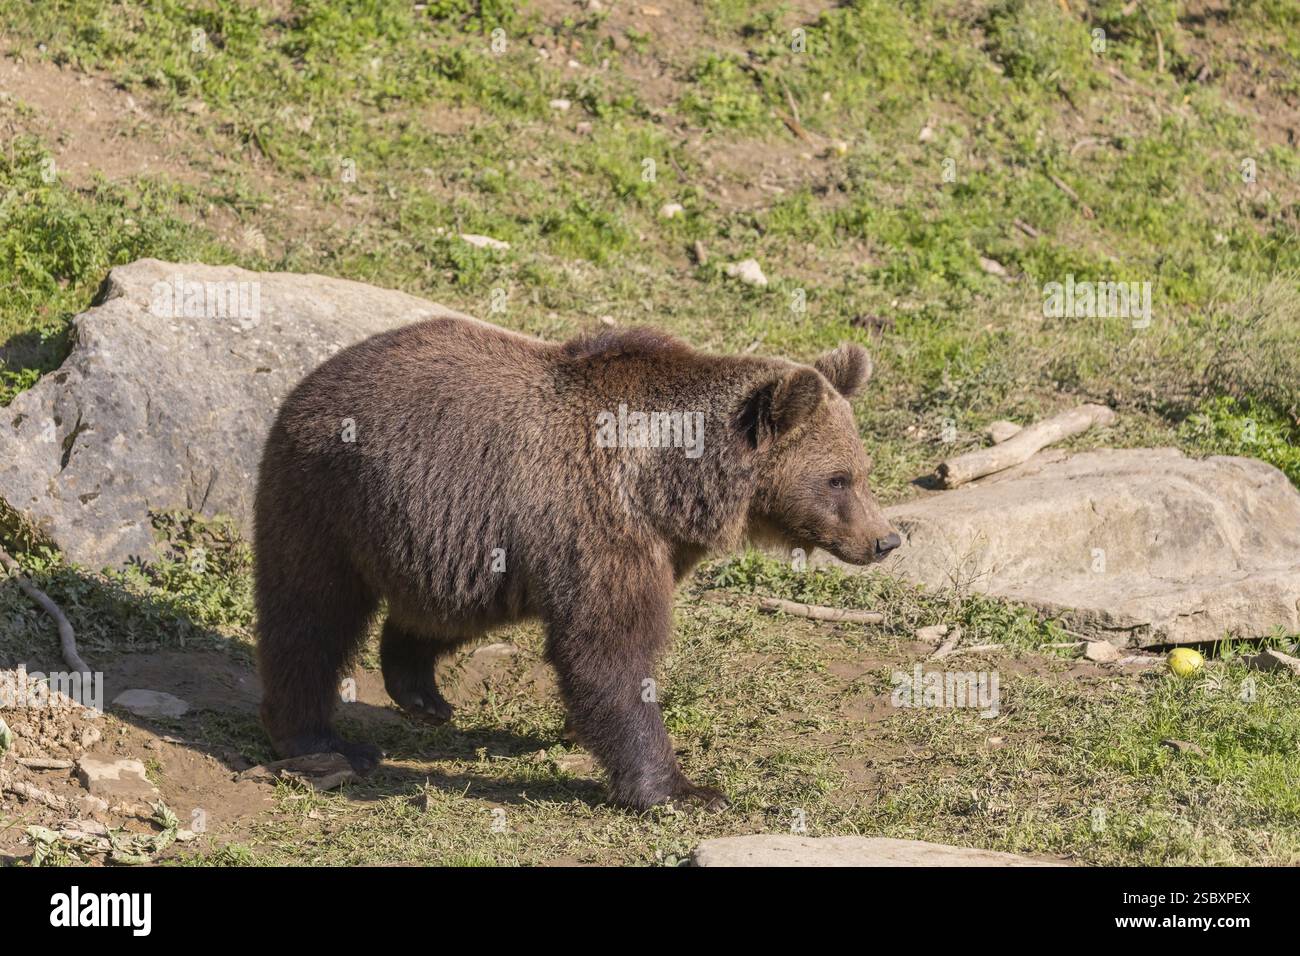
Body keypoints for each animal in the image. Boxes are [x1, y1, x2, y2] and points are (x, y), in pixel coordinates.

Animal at [254, 316, 900, 811]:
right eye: (837, 479)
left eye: (862, 471)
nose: (886, 540)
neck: (672, 485)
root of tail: (310, 377)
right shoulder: (600, 522)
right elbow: (607, 652)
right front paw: (683, 789)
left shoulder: (654, 544)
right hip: (330, 501)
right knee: (309, 617)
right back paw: (319, 739)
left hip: (455, 536)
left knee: (443, 607)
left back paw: (420, 690)